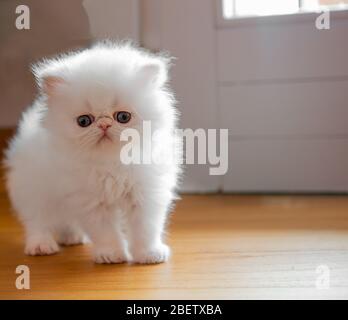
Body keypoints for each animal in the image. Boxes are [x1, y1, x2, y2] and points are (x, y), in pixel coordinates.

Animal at [4, 41, 181, 264]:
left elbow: (145, 229)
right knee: (38, 221)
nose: (104, 125)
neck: (111, 163)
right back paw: (42, 246)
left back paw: (72, 238)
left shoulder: (145, 195)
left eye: (123, 117)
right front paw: (111, 255)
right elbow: (105, 232)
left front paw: (149, 255)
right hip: (35, 192)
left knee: (66, 221)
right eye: (84, 121)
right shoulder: (91, 201)